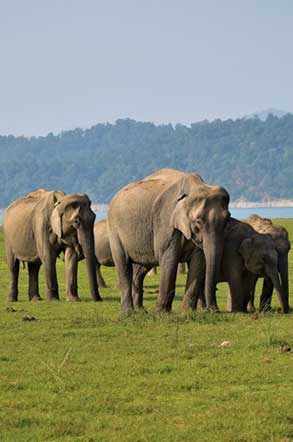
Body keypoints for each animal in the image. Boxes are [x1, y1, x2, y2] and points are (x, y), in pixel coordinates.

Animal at [107, 167, 230, 312]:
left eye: (227, 219)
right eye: (198, 222)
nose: (213, 310)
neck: (195, 186)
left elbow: (199, 261)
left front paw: (187, 312)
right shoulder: (165, 221)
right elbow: (169, 259)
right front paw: (161, 313)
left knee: (141, 269)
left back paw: (141, 311)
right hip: (114, 230)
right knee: (124, 264)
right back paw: (129, 313)